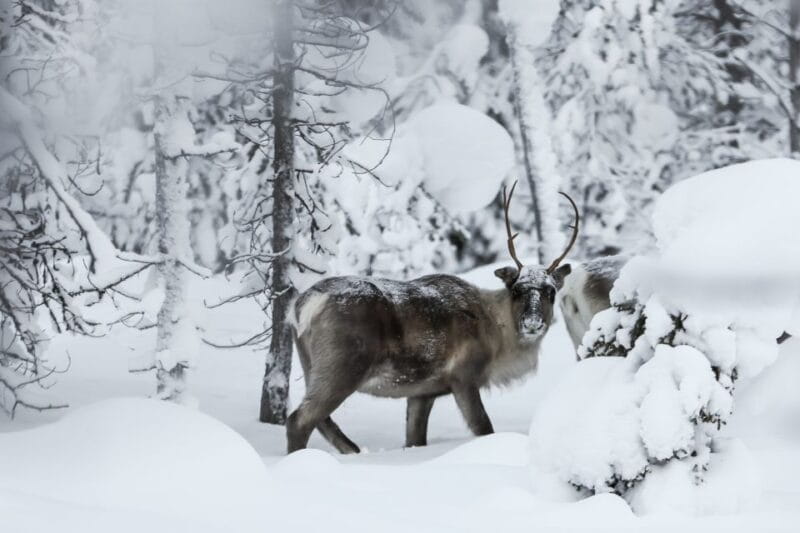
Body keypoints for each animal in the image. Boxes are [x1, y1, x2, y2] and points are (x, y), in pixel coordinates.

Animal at [285, 183, 580, 454]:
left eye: (551, 291)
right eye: (517, 289)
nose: (532, 323)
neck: (496, 334)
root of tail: (304, 304)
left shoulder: (422, 392)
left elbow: (415, 439)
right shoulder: (464, 376)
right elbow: (483, 427)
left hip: (310, 364)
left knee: (321, 421)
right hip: (342, 366)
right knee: (299, 420)